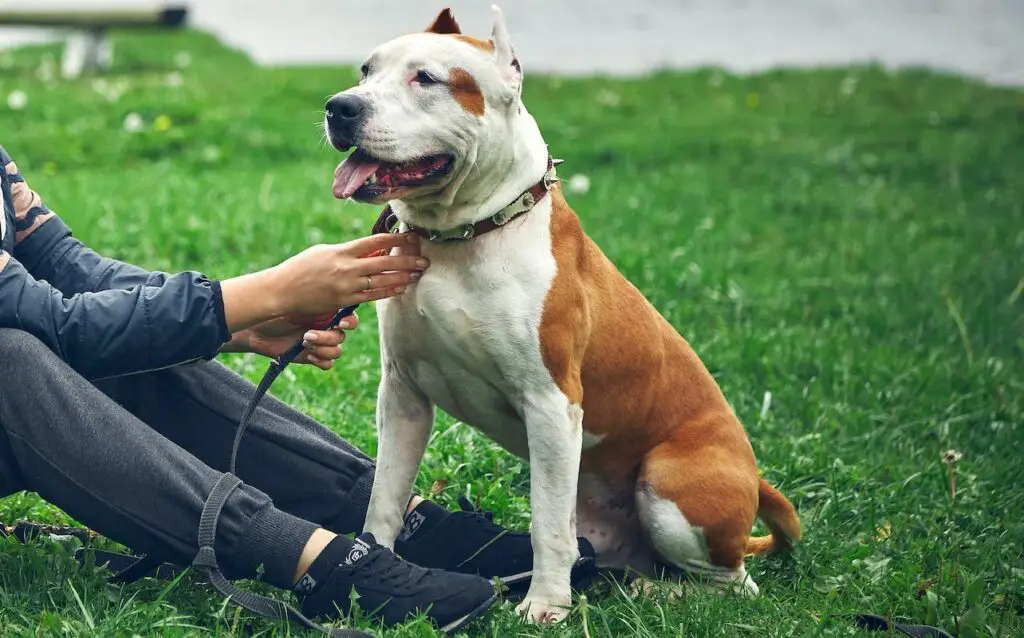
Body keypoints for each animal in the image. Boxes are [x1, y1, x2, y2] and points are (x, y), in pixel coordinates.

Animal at [323, 4, 802, 622]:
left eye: (425, 78)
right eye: (365, 70)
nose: (340, 106)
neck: (463, 236)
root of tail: (755, 481)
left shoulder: (551, 404)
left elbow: (547, 521)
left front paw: (545, 605)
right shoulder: (402, 393)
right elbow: (386, 495)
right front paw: (373, 561)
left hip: (669, 482)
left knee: (735, 584)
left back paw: (662, 592)